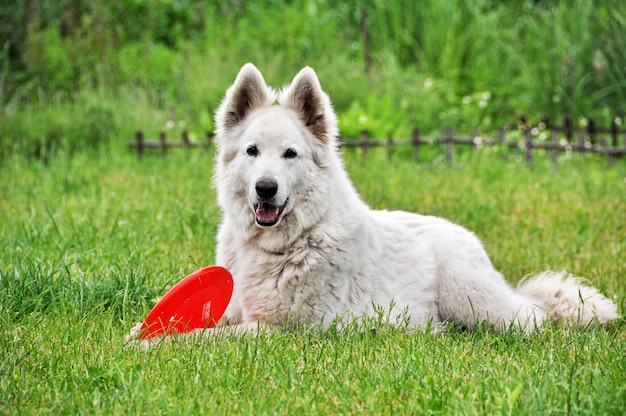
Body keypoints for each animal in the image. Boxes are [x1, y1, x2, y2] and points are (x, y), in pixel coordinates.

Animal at [129, 63, 616, 344]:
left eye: (290, 154)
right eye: (252, 151)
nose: (265, 188)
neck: (282, 244)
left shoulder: (280, 329)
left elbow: (203, 339)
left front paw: (155, 343)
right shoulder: (237, 309)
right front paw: (141, 331)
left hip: (470, 296)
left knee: (534, 317)